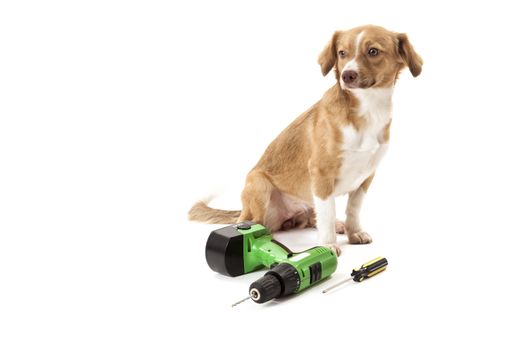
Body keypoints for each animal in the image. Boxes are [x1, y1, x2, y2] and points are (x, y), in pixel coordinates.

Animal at [188, 23, 422, 254]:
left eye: (373, 51)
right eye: (342, 53)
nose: (347, 75)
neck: (368, 109)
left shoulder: (367, 175)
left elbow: (353, 209)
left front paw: (353, 232)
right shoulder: (321, 173)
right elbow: (327, 213)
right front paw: (327, 245)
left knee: (311, 218)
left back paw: (335, 225)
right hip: (259, 184)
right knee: (252, 222)